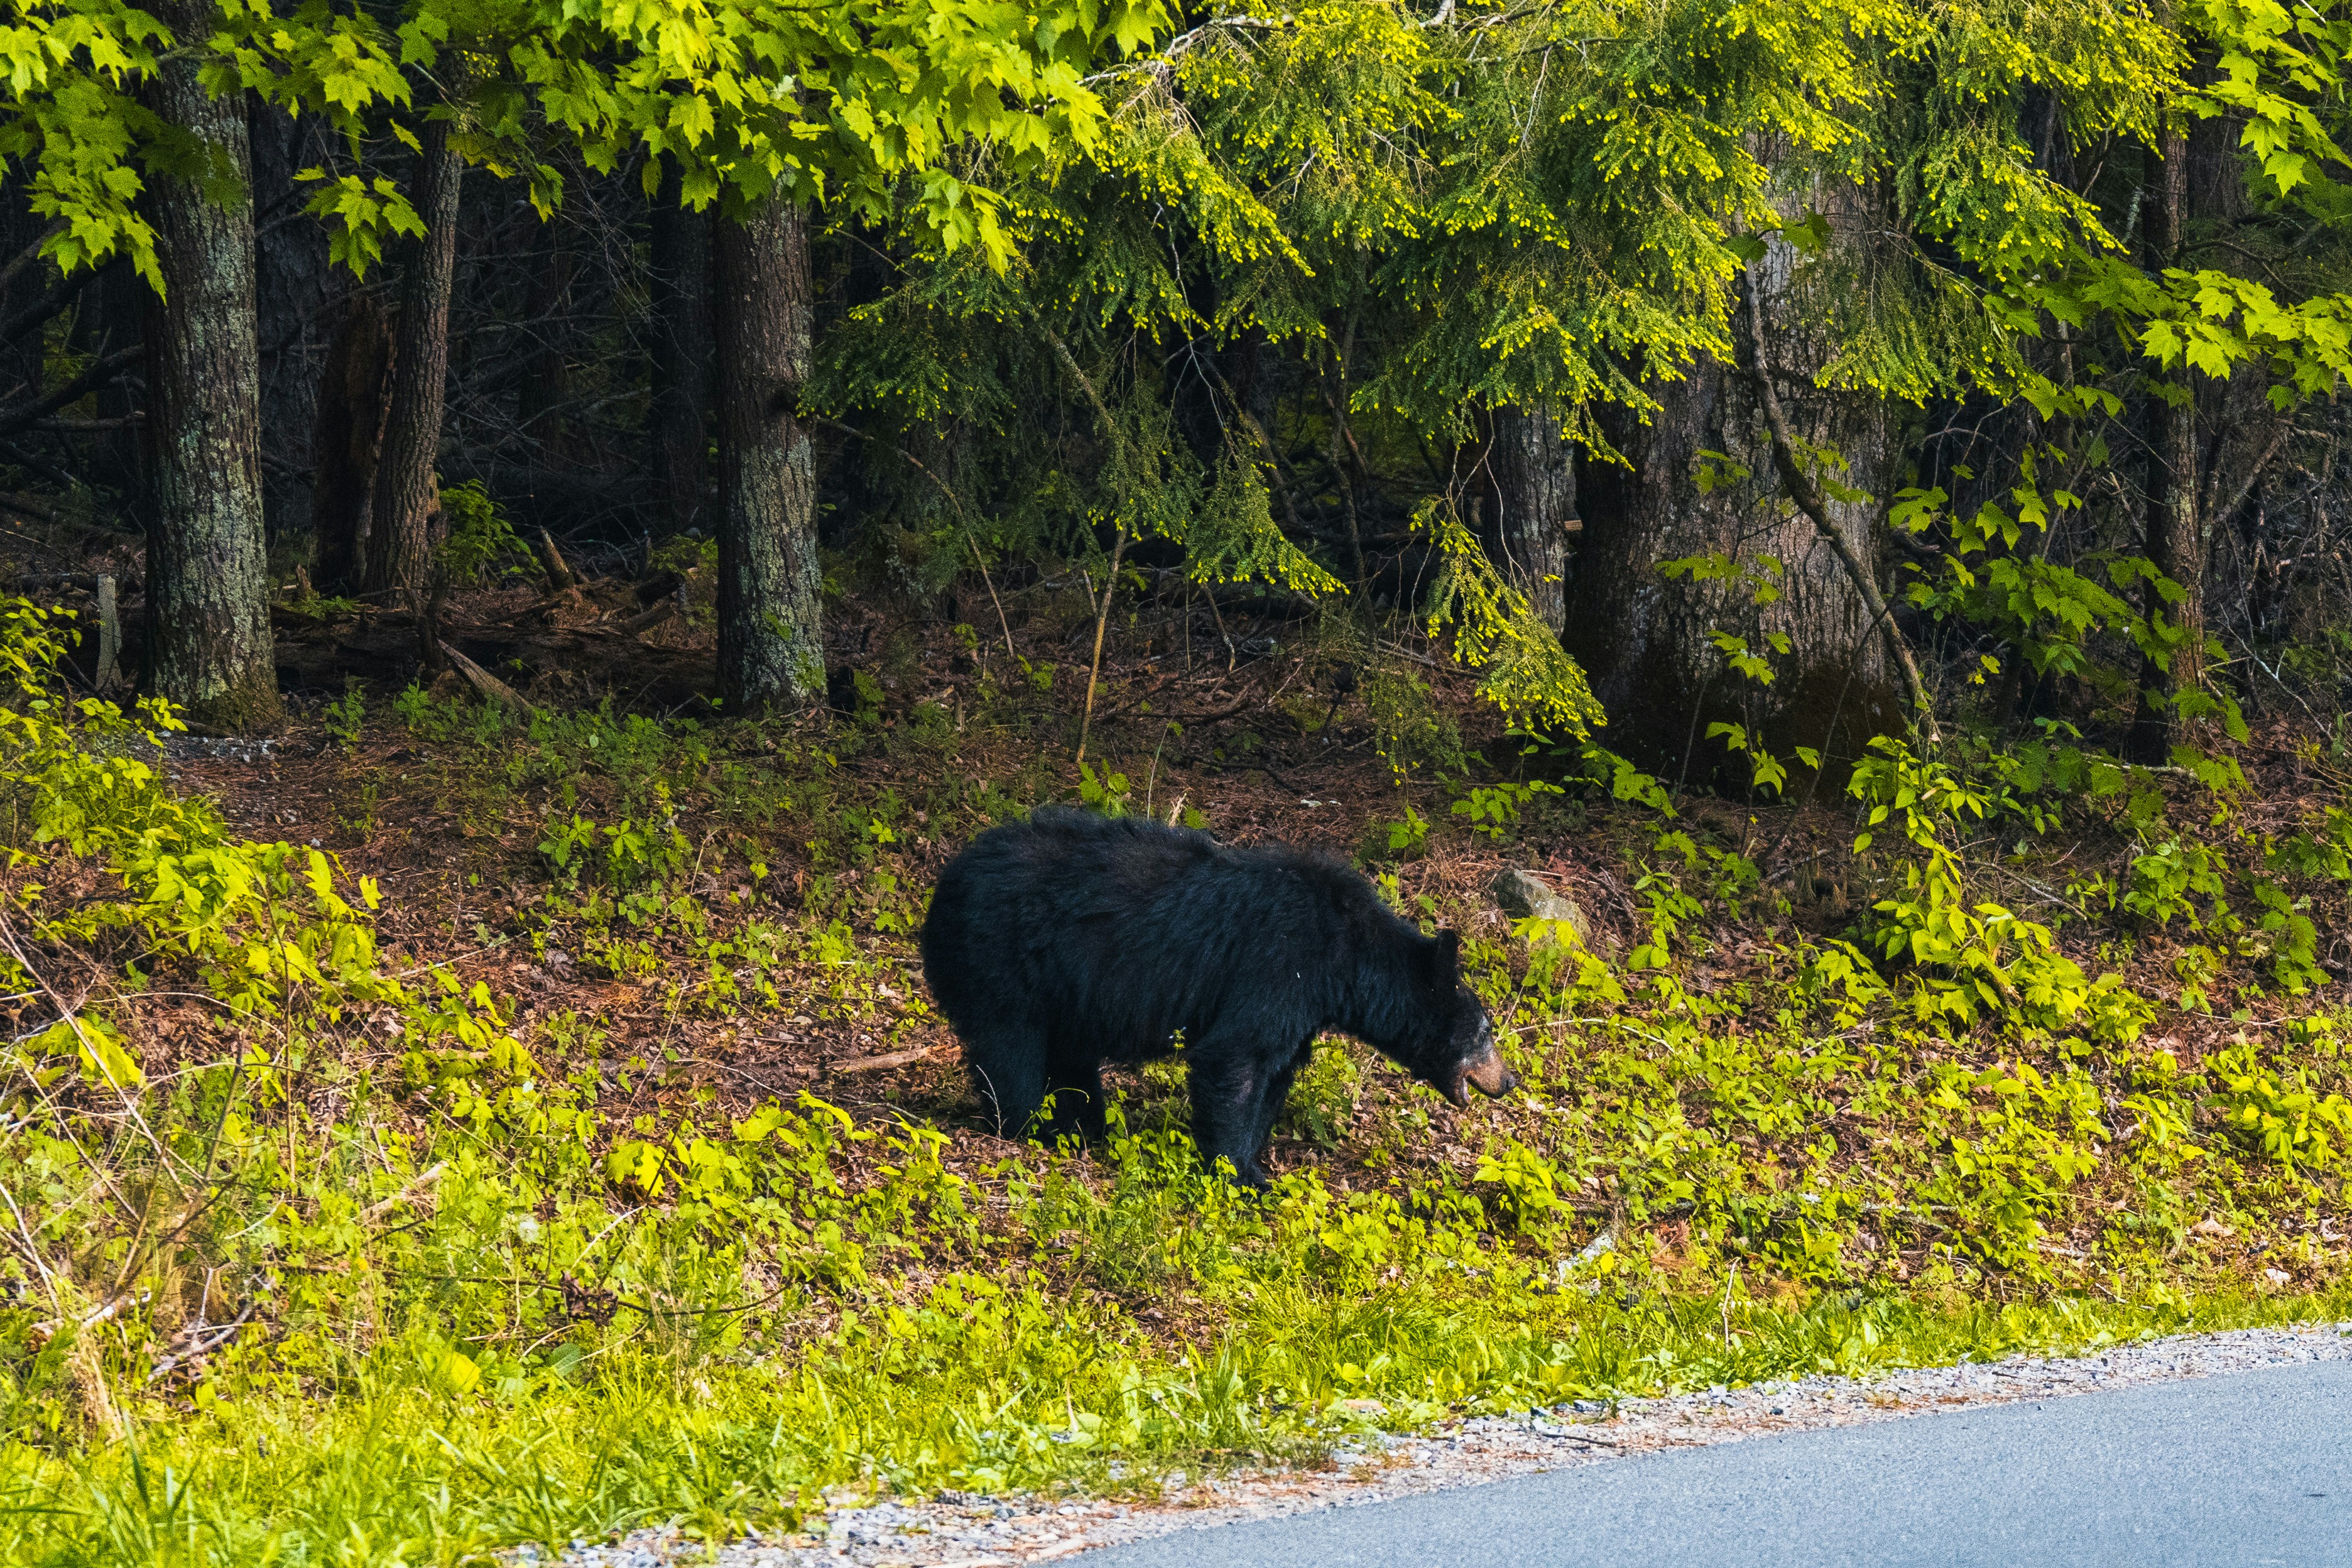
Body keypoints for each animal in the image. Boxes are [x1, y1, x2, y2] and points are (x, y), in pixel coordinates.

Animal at [918, 807, 1517, 1186]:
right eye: (1485, 1032)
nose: (1509, 1080)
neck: (1347, 955)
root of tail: (945, 882)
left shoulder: (1304, 1005)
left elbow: (1274, 1074)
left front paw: (1252, 1161)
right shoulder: (1279, 965)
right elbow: (1236, 1057)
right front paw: (1240, 1175)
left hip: (1063, 985)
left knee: (1070, 1057)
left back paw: (1085, 1127)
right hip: (998, 957)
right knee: (1010, 1048)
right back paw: (1031, 1128)